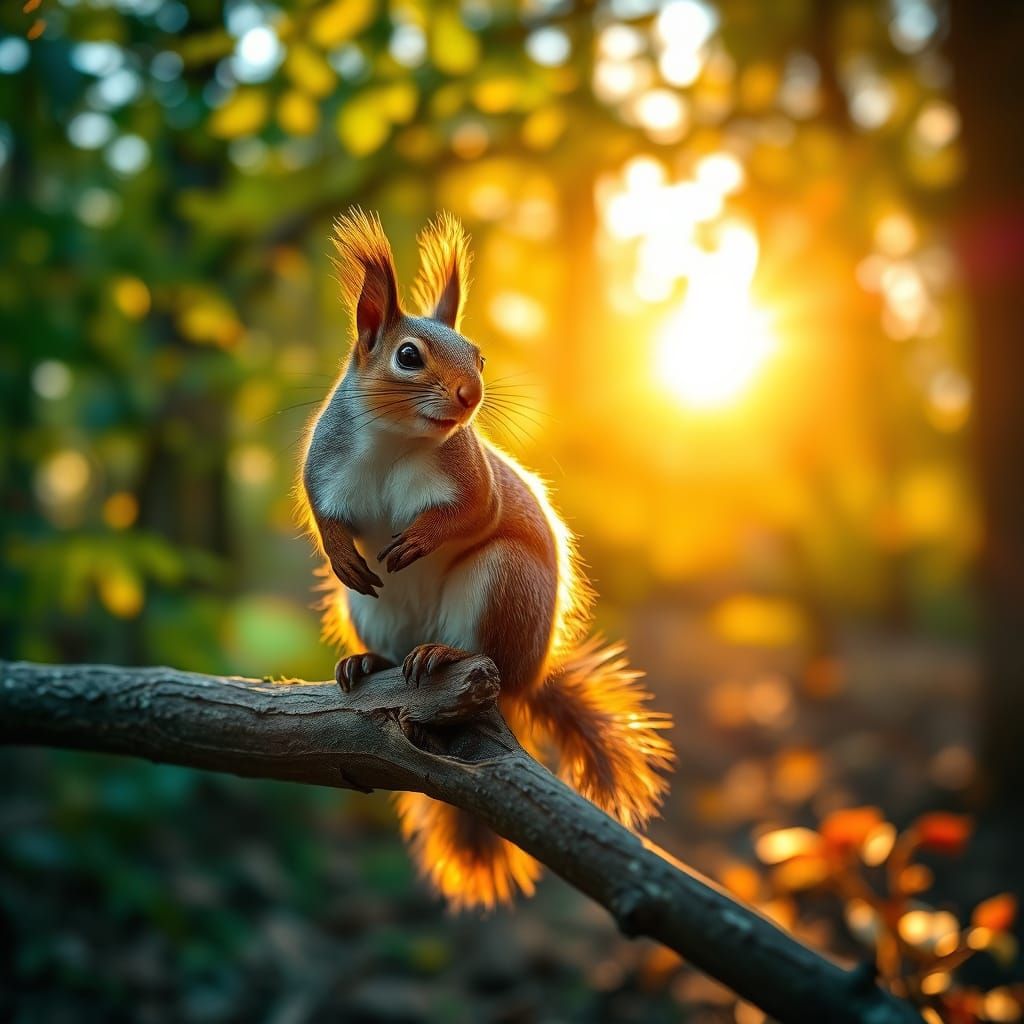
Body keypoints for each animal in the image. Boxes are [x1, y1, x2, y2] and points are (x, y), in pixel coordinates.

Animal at [299, 208, 675, 910]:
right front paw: (345, 556)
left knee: (485, 650)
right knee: (386, 642)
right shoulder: (323, 471)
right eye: (408, 355)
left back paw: (444, 654)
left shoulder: (473, 481)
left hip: (503, 582)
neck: (395, 442)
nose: (471, 394)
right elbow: (326, 523)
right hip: (368, 612)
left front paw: (418, 540)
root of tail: (530, 675)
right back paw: (372, 662)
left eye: (477, 354)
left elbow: (470, 515)